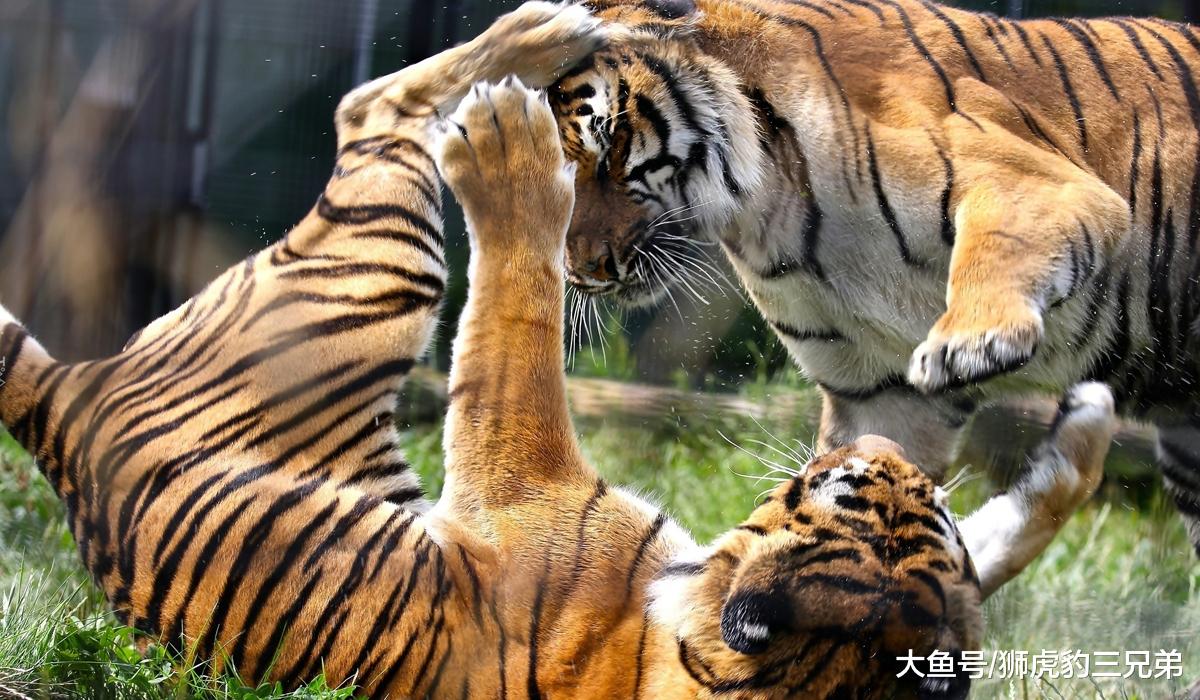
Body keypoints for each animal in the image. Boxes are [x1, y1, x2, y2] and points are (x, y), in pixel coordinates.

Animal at [0, 3, 1120, 696]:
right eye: (883, 496)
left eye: (854, 490)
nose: (880, 452)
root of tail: (57, 408)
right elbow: (1006, 542)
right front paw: (1083, 435)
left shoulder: (520, 472)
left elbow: (520, 319)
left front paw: (508, 152)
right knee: (365, 106)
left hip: (376, 266)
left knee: (368, 111)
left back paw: (535, 47)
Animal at [551, 0, 1200, 560]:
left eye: (609, 148)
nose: (583, 267)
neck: (768, 212)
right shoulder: (881, 396)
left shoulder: (1045, 185)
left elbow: (996, 244)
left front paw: (970, 344)